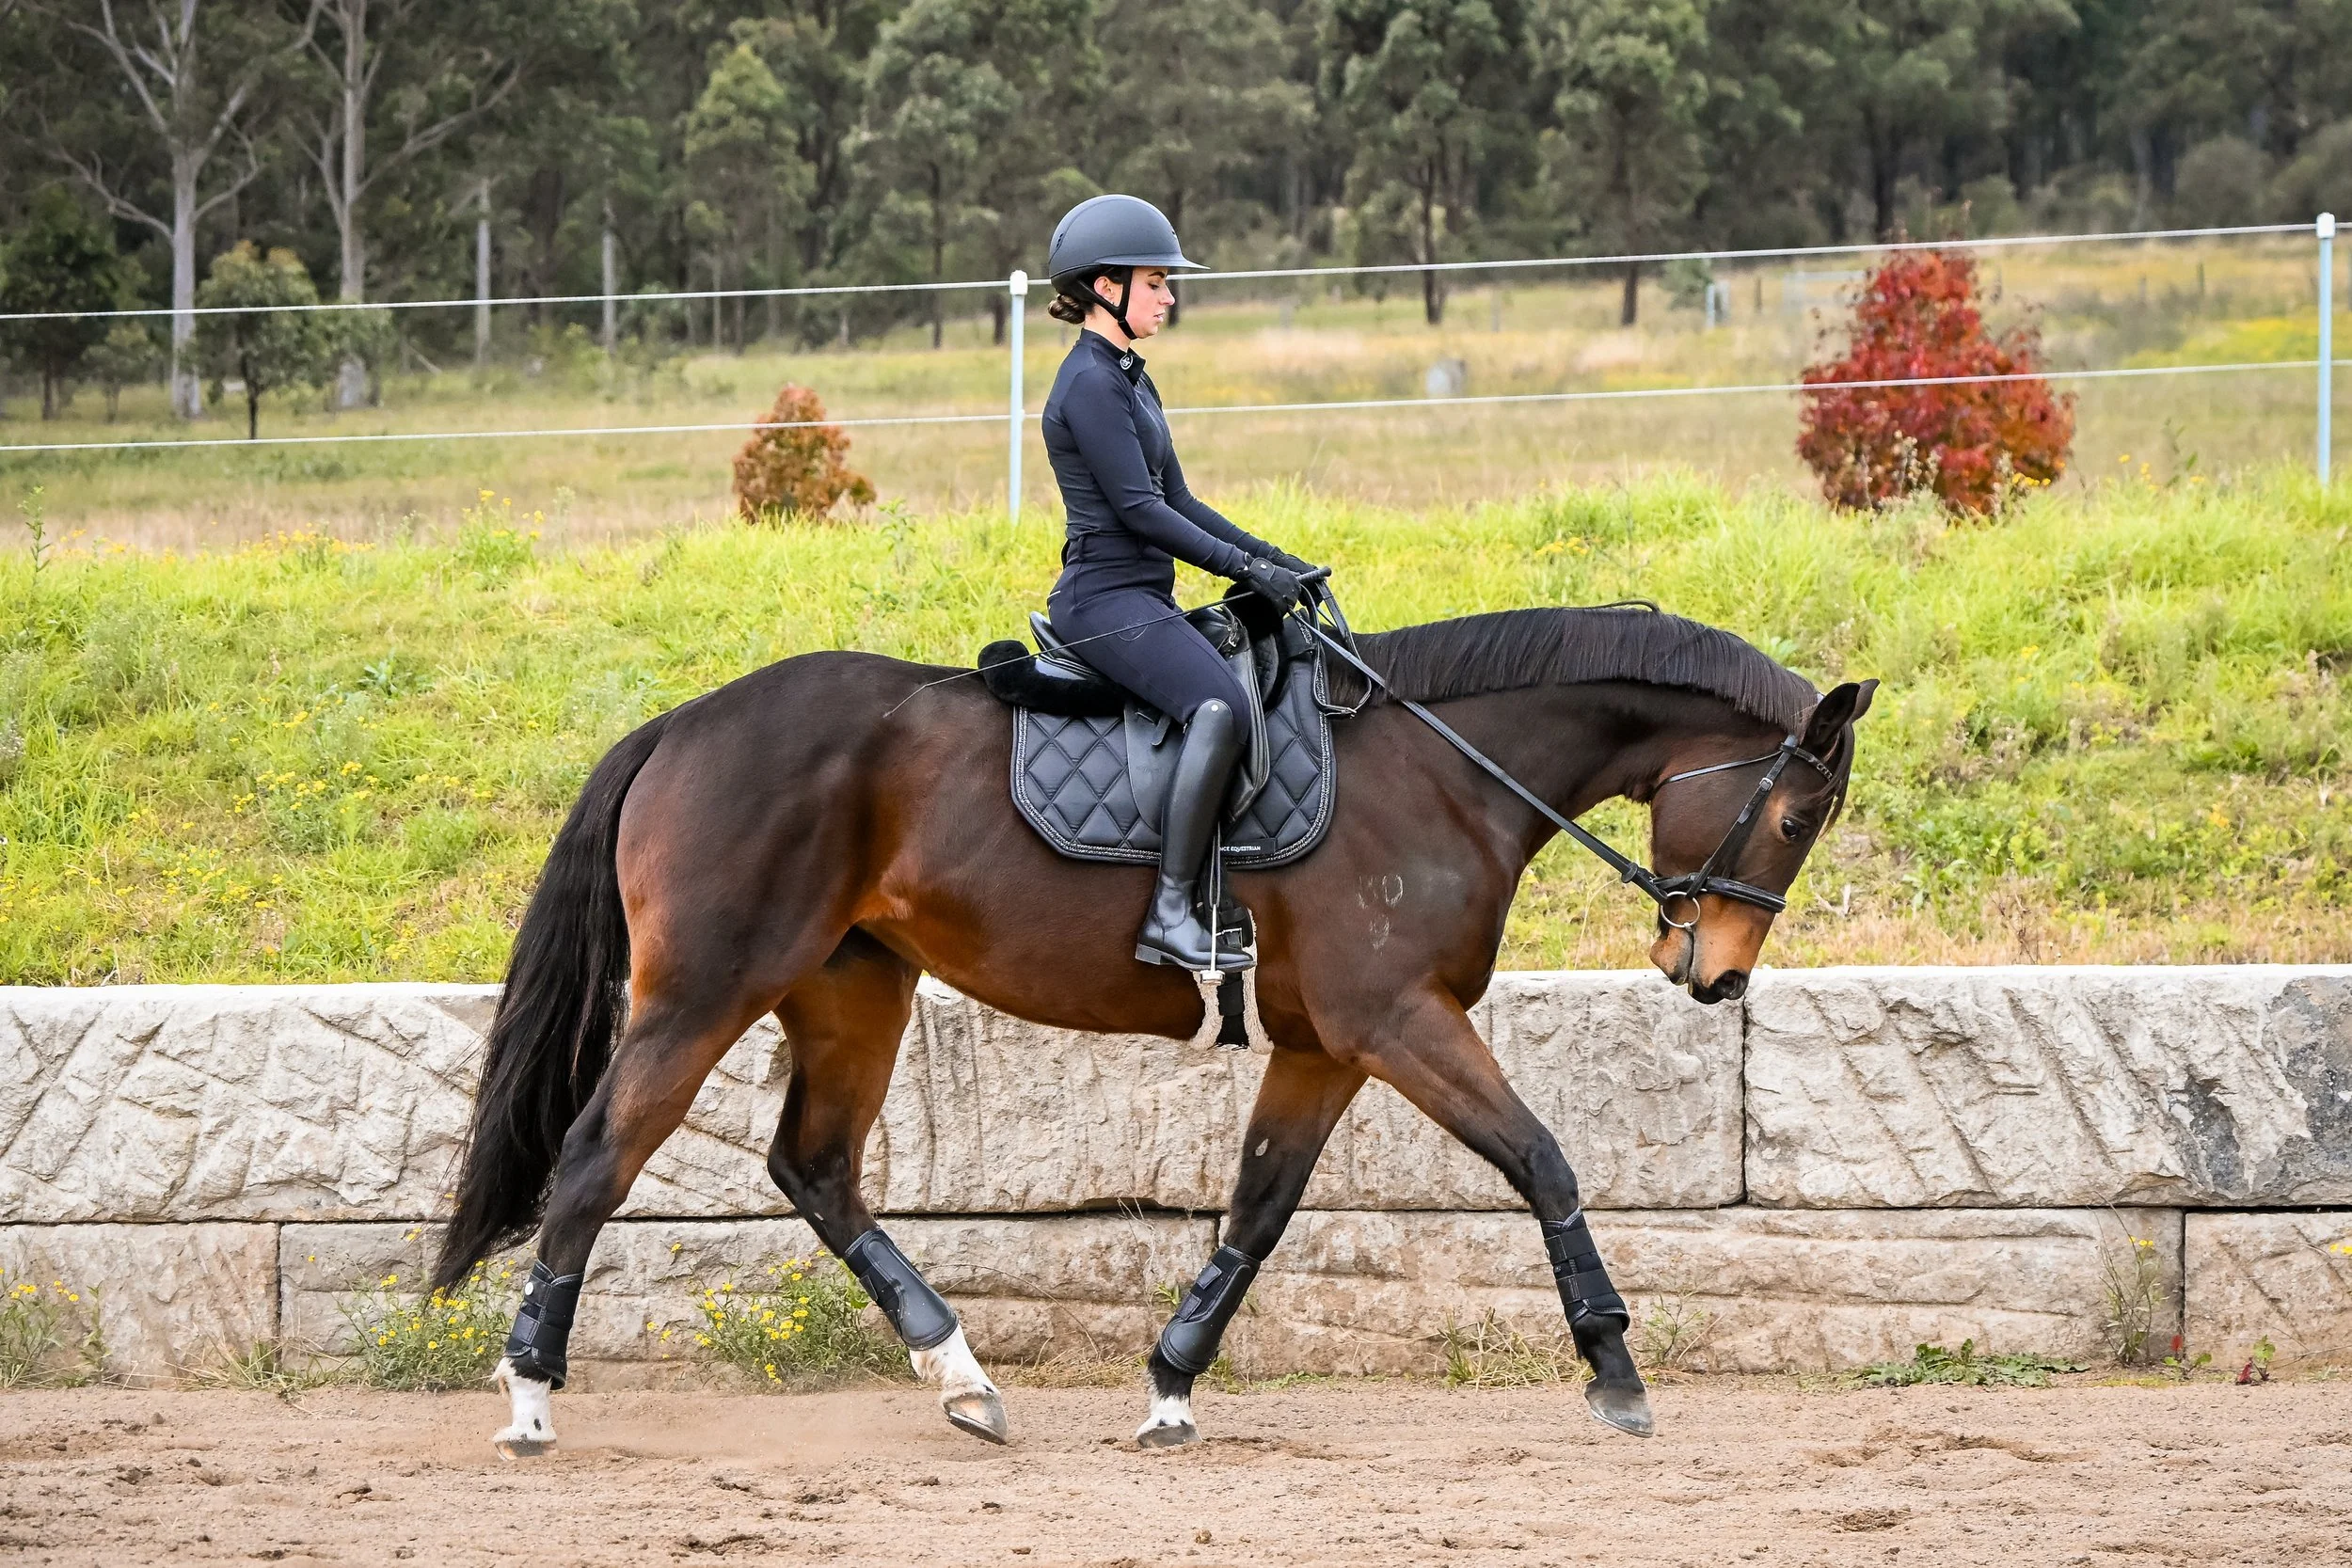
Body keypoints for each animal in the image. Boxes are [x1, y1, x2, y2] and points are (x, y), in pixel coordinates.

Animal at [432, 600, 1875, 1456]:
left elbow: (1259, 1207)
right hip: (703, 992)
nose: (1714, 976)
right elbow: (1544, 1160)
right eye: (1796, 814)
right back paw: (531, 1389)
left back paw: (961, 1373)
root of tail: (682, 721)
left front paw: (1173, 1377)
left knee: (817, 1166)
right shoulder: (1396, 1018)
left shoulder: (1327, 1044)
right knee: (598, 1157)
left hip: (850, 988)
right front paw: (1614, 1366)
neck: (1446, 768)